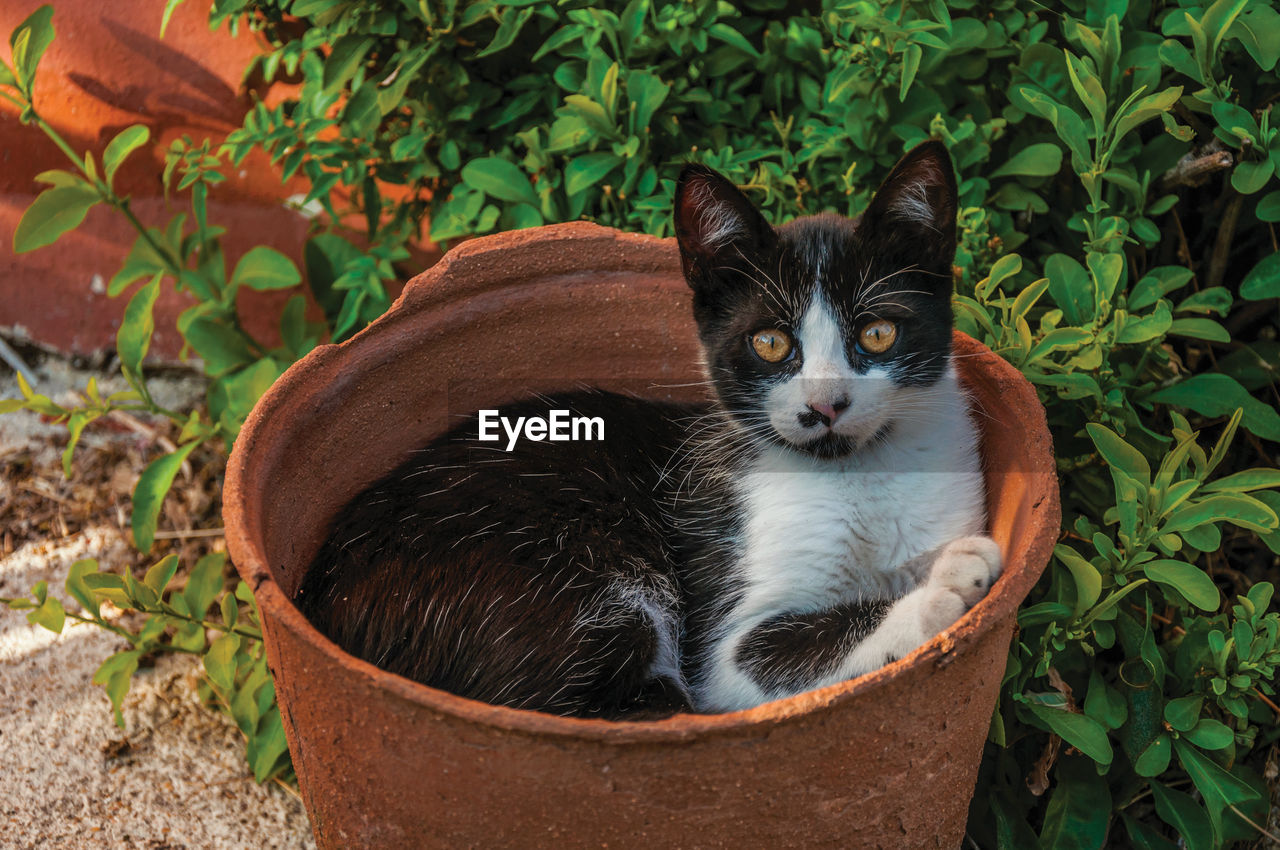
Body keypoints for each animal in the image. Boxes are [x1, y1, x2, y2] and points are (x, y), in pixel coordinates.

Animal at [296, 140, 998, 716]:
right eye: (771, 343)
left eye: (877, 333)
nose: (825, 405)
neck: (857, 471)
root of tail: (326, 605)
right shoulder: (721, 642)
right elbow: (778, 649)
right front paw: (945, 586)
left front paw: (935, 570)